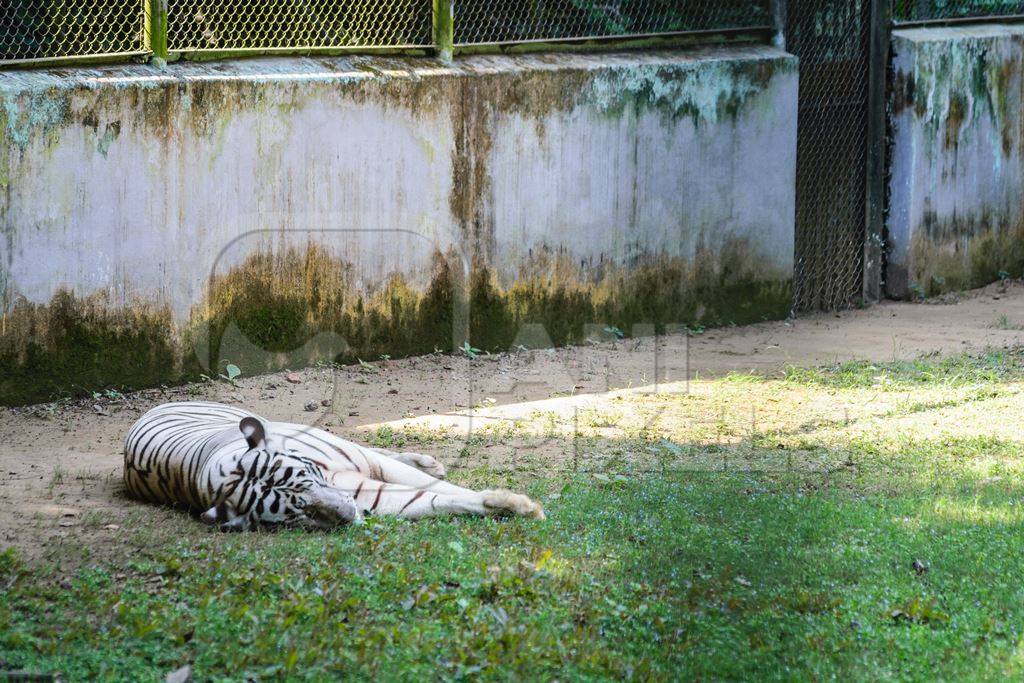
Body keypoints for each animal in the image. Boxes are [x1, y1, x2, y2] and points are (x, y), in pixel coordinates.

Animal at [121, 403, 544, 532]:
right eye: (297, 513)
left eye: (306, 481)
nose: (348, 514)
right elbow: (432, 499)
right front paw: (509, 506)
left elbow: (441, 487)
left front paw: (522, 505)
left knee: (378, 449)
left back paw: (429, 460)